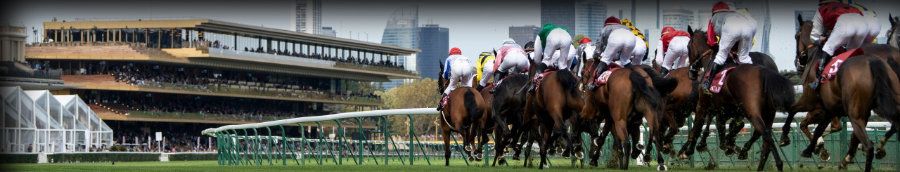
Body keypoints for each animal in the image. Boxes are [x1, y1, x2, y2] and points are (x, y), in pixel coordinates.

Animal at [684, 26, 796, 171]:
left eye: (688, 46)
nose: (691, 72)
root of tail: (764, 72)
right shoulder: (726, 109)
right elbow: (726, 126)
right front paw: (729, 145)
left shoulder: (703, 104)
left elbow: (698, 126)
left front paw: (690, 149)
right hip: (769, 113)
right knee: (764, 140)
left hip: (752, 111)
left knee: (766, 135)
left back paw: (778, 163)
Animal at [780, 16, 900, 171]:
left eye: (796, 36)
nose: (798, 62)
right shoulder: (829, 109)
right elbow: (818, 128)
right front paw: (817, 148)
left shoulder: (811, 102)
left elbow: (794, 112)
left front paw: (787, 139)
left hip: (858, 112)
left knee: (869, 141)